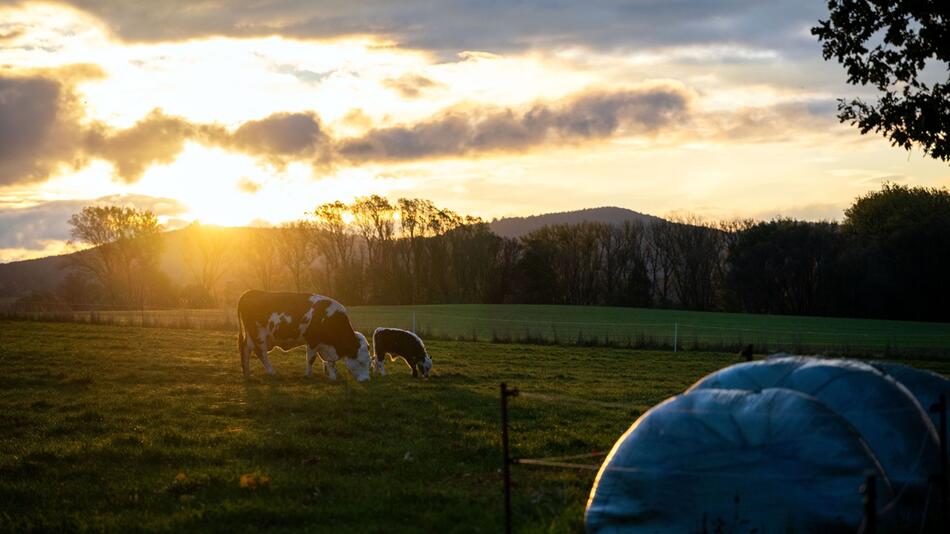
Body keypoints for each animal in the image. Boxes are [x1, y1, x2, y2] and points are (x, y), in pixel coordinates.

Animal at [237, 292, 372, 384]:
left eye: (370, 362)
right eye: (360, 362)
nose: (367, 380)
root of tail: (250, 292)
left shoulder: (326, 346)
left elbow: (330, 362)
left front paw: (332, 377)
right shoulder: (312, 341)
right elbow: (311, 359)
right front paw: (309, 375)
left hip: (250, 335)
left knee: (246, 349)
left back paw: (247, 374)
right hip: (259, 334)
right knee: (260, 352)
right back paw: (271, 371)